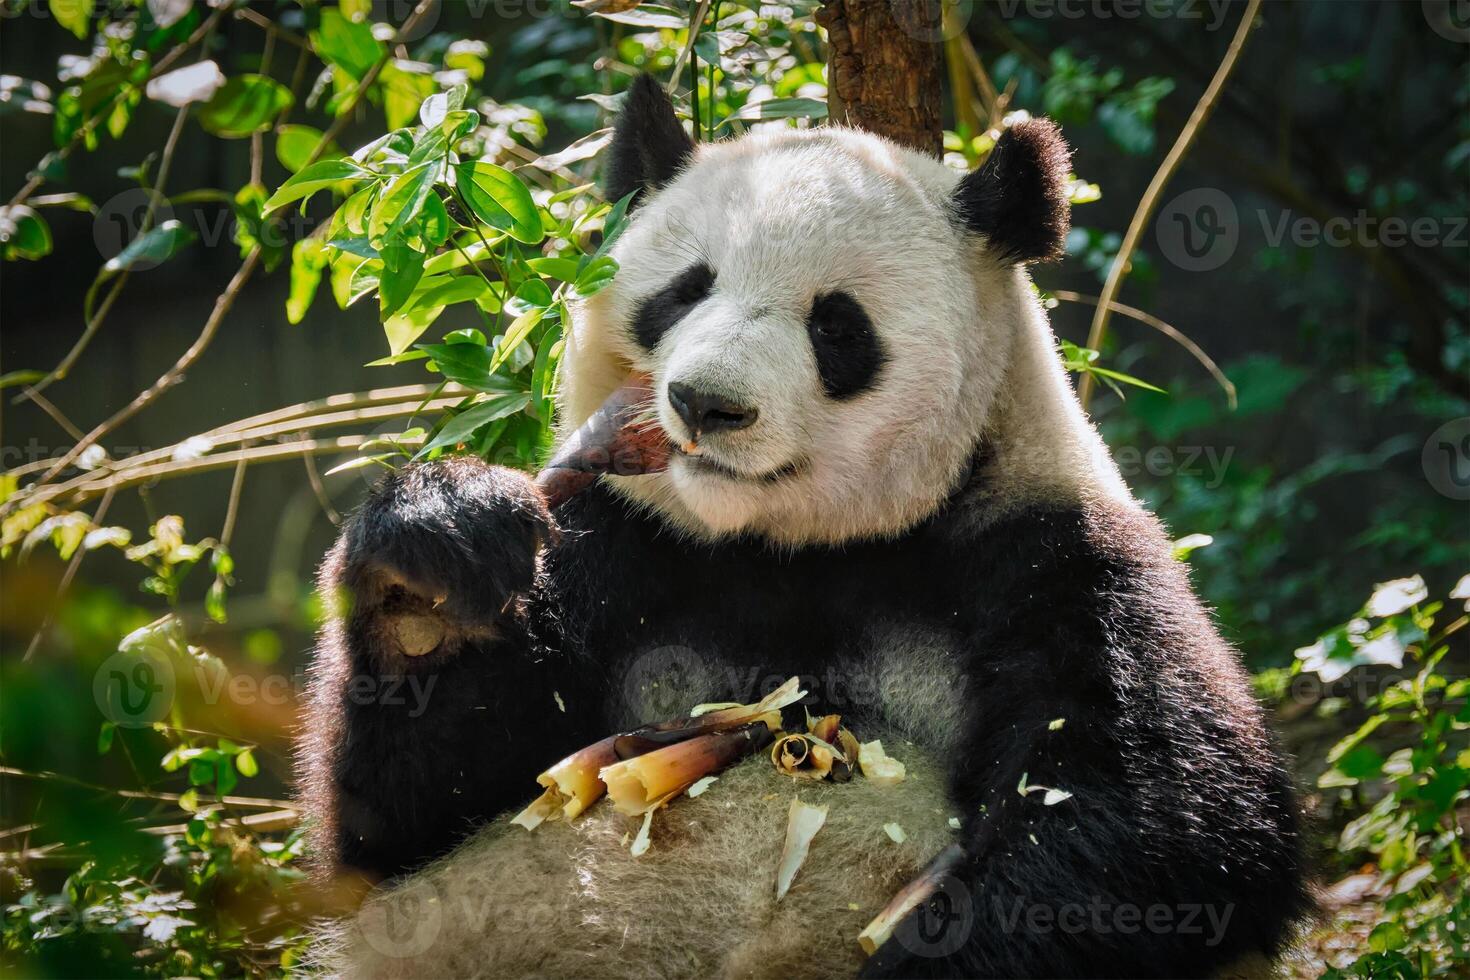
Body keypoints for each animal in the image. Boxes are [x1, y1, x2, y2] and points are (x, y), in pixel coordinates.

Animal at [292, 72, 1305, 975]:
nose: (705, 405)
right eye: (684, 290)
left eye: (837, 325)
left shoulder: (1047, 553)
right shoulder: (616, 547)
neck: (790, 543)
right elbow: (407, 822)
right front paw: (433, 565)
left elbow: (1157, 826)